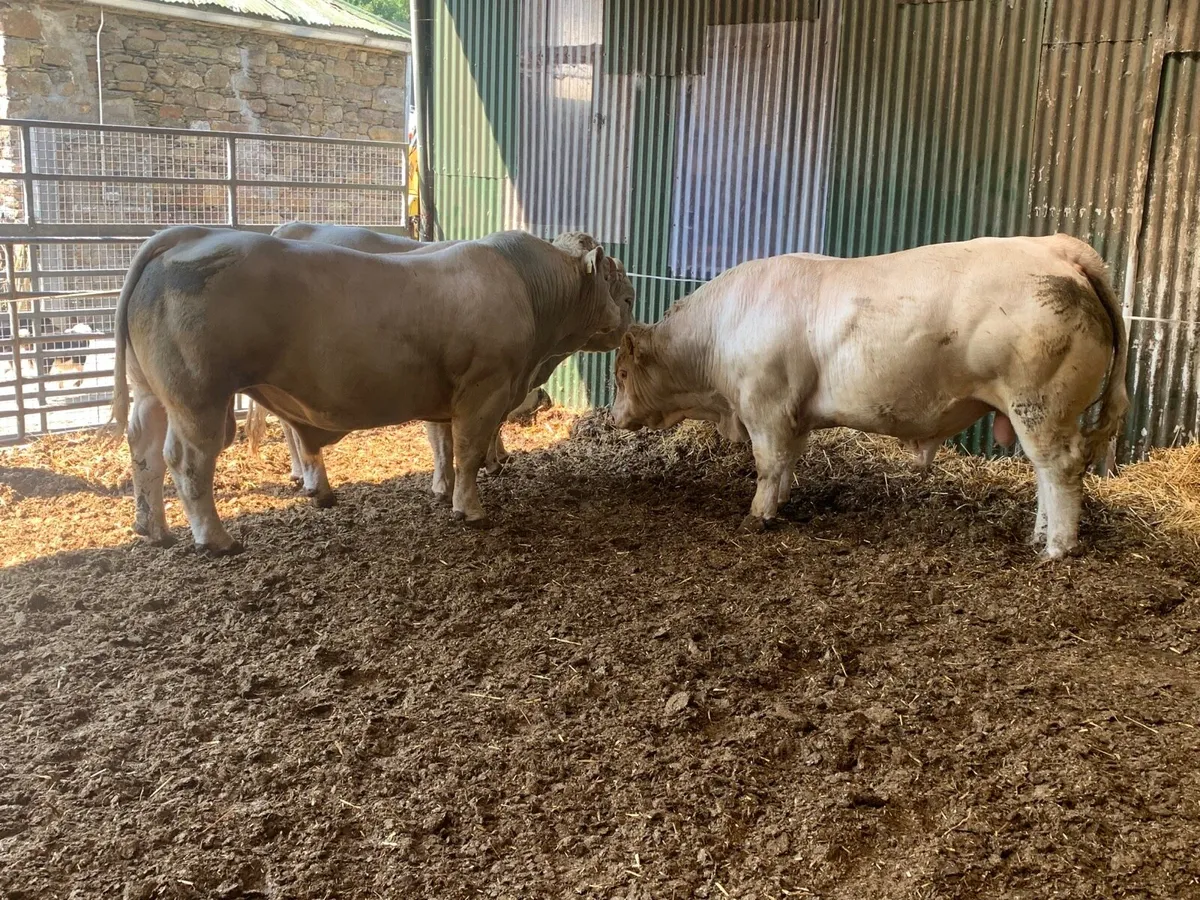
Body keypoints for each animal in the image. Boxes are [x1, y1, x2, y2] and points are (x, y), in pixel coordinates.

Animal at [251, 223, 633, 499]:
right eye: (623, 293)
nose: (629, 319)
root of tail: (283, 228)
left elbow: (450, 435)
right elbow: (463, 434)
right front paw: (471, 473)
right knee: (288, 421)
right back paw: (303, 473)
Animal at [610, 234, 1128, 559]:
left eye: (619, 374)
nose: (614, 417)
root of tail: (1054, 247)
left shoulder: (765, 406)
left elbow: (768, 464)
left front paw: (757, 517)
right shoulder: (792, 414)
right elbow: (788, 462)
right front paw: (781, 502)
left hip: (1040, 403)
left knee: (1060, 468)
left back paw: (1057, 548)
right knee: (1044, 473)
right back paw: (1038, 538)